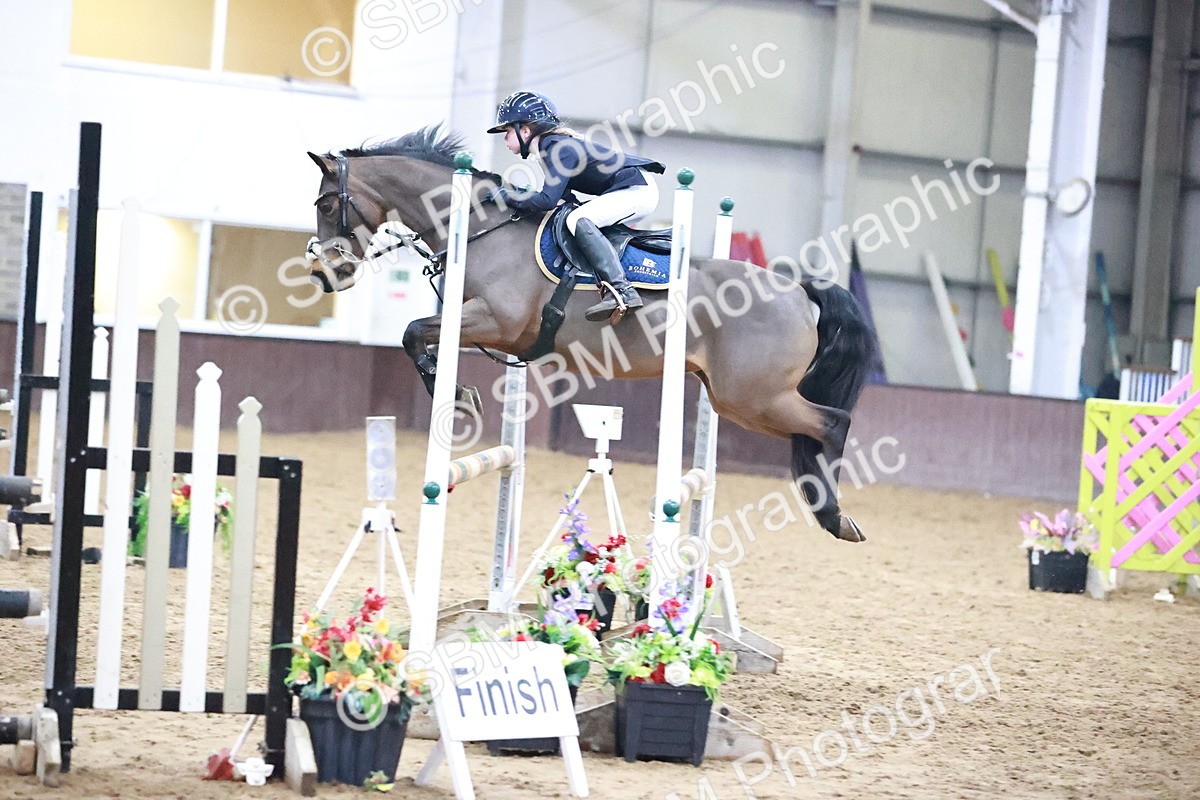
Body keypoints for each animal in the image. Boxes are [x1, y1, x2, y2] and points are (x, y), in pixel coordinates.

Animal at [305, 126, 877, 543]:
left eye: (327, 205)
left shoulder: (495, 321)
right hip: (736, 397)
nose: (326, 275)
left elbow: (411, 332)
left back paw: (834, 517)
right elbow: (416, 337)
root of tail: (800, 290)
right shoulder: (496, 334)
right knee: (816, 431)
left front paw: (460, 396)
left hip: (754, 397)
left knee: (833, 424)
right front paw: (461, 393)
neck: (481, 225)